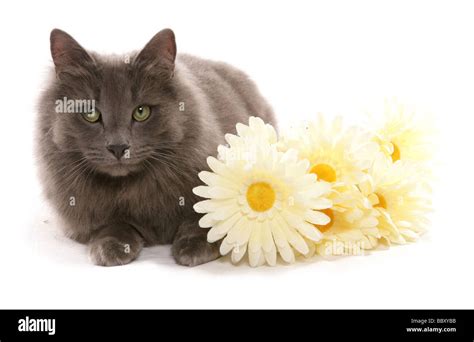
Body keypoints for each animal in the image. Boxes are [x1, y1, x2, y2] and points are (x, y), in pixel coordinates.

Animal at [37, 28, 276, 266]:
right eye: (91, 114)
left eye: (141, 112)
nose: (118, 147)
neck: (133, 186)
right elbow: (113, 225)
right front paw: (111, 248)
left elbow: (205, 219)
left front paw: (193, 247)